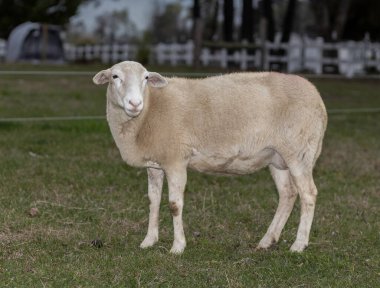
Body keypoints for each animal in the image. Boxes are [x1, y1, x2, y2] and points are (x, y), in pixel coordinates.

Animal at [93, 59, 328, 253]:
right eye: (115, 77)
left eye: (146, 78)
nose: (135, 104)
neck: (150, 110)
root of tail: (316, 95)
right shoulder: (155, 164)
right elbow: (153, 201)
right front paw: (148, 241)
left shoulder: (176, 160)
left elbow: (174, 205)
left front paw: (178, 247)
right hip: (277, 158)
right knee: (288, 194)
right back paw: (267, 241)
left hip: (299, 151)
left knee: (308, 194)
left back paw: (299, 244)